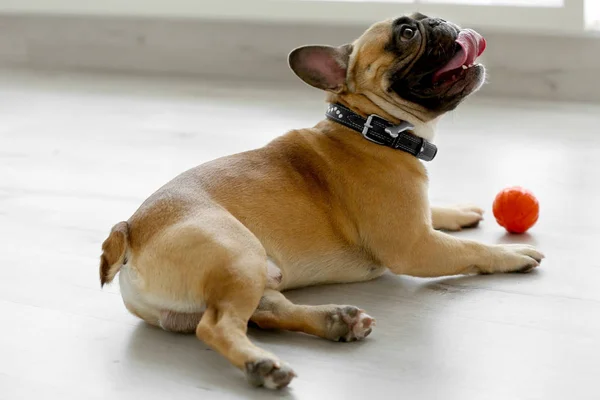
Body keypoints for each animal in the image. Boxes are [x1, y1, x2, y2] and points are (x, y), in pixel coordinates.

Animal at [99, 13, 544, 390]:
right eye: (406, 33)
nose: (440, 20)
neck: (369, 128)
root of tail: (129, 233)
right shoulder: (415, 244)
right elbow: (471, 250)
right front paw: (513, 254)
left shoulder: (416, 216)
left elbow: (436, 211)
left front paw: (460, 211)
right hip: (238, 254)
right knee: (217, 326)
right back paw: (263, 364)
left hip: (254, 271)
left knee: (266, 312)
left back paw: (337, 322)